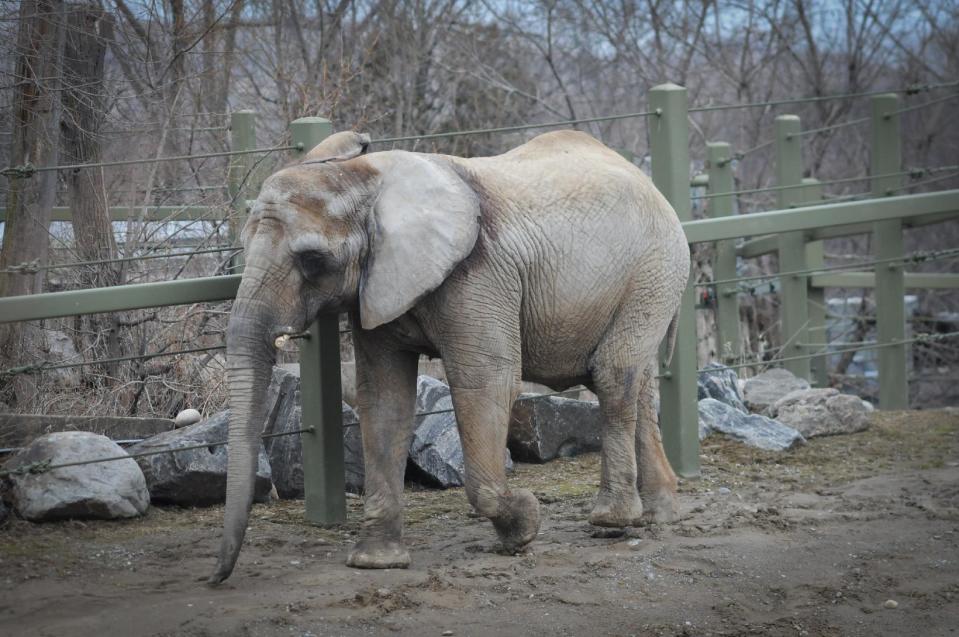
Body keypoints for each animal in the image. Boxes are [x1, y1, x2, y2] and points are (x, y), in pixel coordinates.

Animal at [208, 126, 688, 584]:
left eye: (311, 260)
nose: (214, 578)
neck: (365, 178)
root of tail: (651, 184)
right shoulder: (377, 285)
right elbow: (383, 398)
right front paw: (376, 563)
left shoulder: (479, 275)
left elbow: (485, 381)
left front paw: (524, 526)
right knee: (630, 381)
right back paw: (657, 514)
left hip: (655, 269)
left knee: (611, 374)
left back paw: (612, 520)